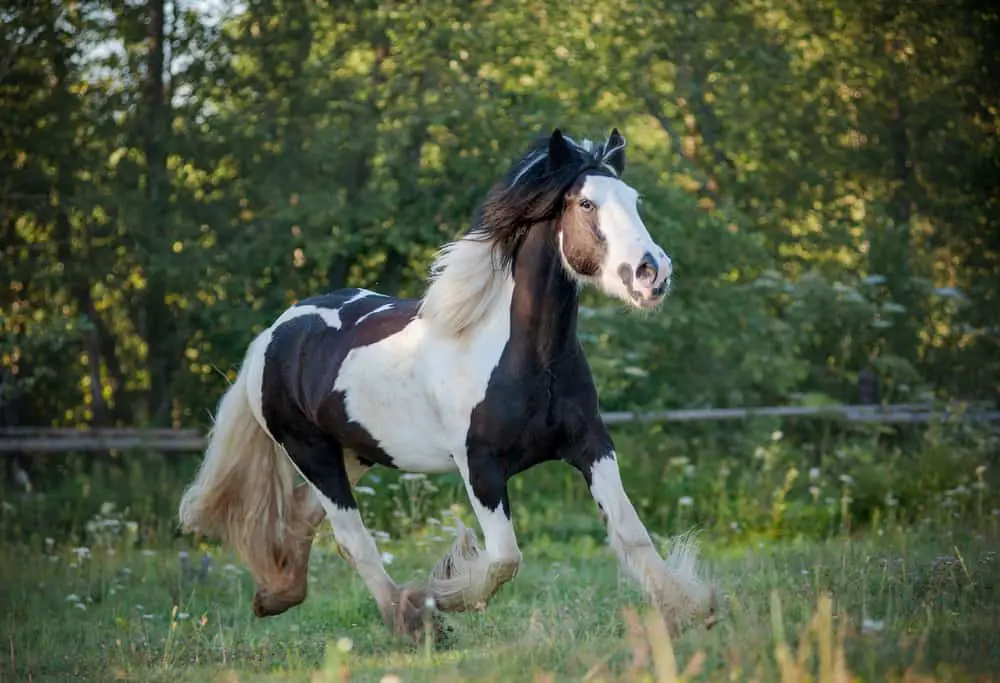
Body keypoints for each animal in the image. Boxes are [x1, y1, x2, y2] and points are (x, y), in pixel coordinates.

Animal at [176, 127, 716, 640]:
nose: (652, 274)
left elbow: (630, 533)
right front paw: (436, 595)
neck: (524, 358)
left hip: (358, 452)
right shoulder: (479, 465)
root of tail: (274, 334)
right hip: (310, 451)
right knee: (353, 539)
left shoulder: (591, 444)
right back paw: (412, 621)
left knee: (306, 517)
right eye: (586, 203)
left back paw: (278, 596)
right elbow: (504, 558)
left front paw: (692, 611)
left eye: (635, 200)